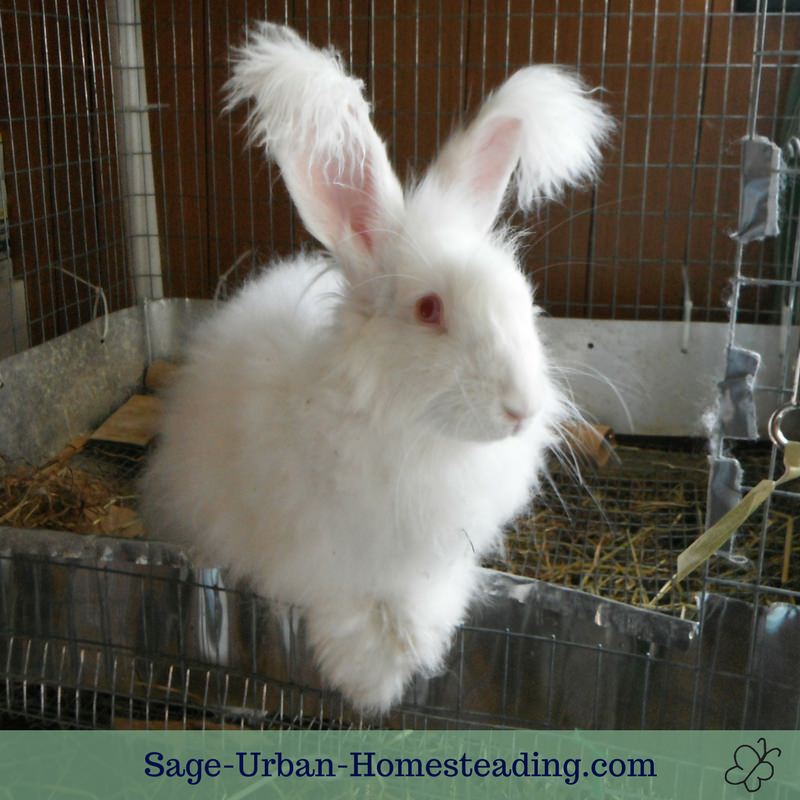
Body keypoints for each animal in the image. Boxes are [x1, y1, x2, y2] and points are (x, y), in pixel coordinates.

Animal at [142, 23, 612, 712]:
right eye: (429, 309)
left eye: (522, 297)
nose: (522, 409)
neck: (409, 434)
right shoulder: (315, 557)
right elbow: (345, 606)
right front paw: (371, 681)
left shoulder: (439, 557)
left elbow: (425, 600)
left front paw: (412, 648)